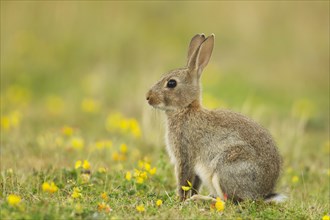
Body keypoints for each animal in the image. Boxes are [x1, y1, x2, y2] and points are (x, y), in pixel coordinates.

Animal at [146, 33, 284, 203]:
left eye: (171, 83)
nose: (148, 97)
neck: (186, 109)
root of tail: (262, 194)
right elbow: (193, 183)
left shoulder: (185, 155)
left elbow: (184, 180)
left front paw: (181, 200)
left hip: (225, 167)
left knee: (228, 201)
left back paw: (200, 199)